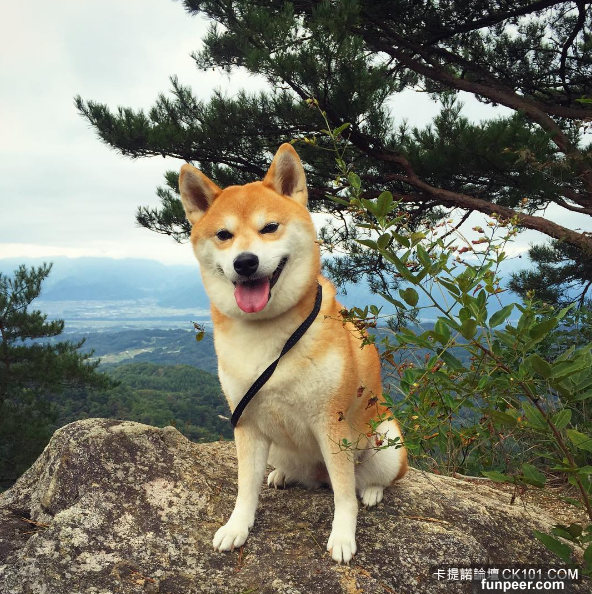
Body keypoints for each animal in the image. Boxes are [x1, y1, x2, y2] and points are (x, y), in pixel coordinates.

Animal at [179, 143, 407, 563]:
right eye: (224, 235)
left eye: (270, 227)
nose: (245, 262)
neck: (268, 332)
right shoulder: (246, 421)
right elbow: (244, 487)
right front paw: (238, 526)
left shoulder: (331, 422)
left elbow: (344, 496)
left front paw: (343, 535)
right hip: (279, 449)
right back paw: (282, 475)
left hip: (386, 440)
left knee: (366, 481)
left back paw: (371, 491)